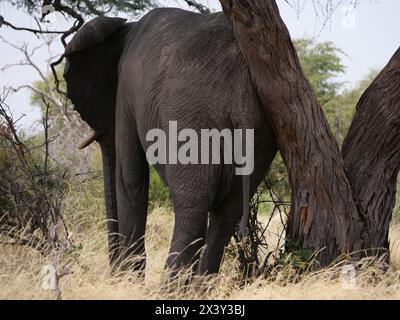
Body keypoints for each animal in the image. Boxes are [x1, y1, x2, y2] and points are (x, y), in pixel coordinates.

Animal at [63, 6, 278, 278]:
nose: (113, 274)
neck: (125, 28)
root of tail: (242, 87)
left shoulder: (125, 92)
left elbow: (130, 177)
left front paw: (130, 279)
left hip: (191, 119)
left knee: (191, 207)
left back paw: (170, 286)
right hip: (261, 132)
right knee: (229, 211)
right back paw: (199, 285)